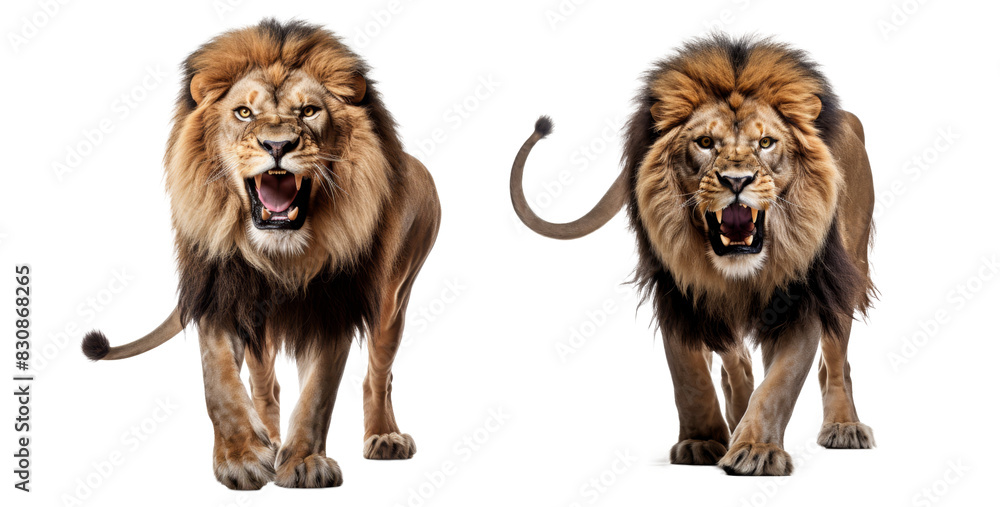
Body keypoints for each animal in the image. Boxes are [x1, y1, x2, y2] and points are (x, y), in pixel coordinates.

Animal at [80, 19, 440, 489]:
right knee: (265, 385)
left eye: (309, 111)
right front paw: (243, 457)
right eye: (244, 113)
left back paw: (384, 437)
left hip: (393, 299)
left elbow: (318, 394)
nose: (277, 146)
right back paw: (268, 437)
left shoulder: (333, 305)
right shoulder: (221, 296)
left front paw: (304, 461)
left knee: (379, 374)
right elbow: (221, 385)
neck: (279, 255)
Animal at [510, 35, 876, 475]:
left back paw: (844, 427)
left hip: (850, 266)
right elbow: (690, 376)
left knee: (835, 360)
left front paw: (756, 450)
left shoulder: (804, 293)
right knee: (734, 355)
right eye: (704, 143)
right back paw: (735, 413)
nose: (737, 181)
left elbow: (780, 383)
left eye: (766, 142)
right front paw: (701, 441)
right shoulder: (677, 292)